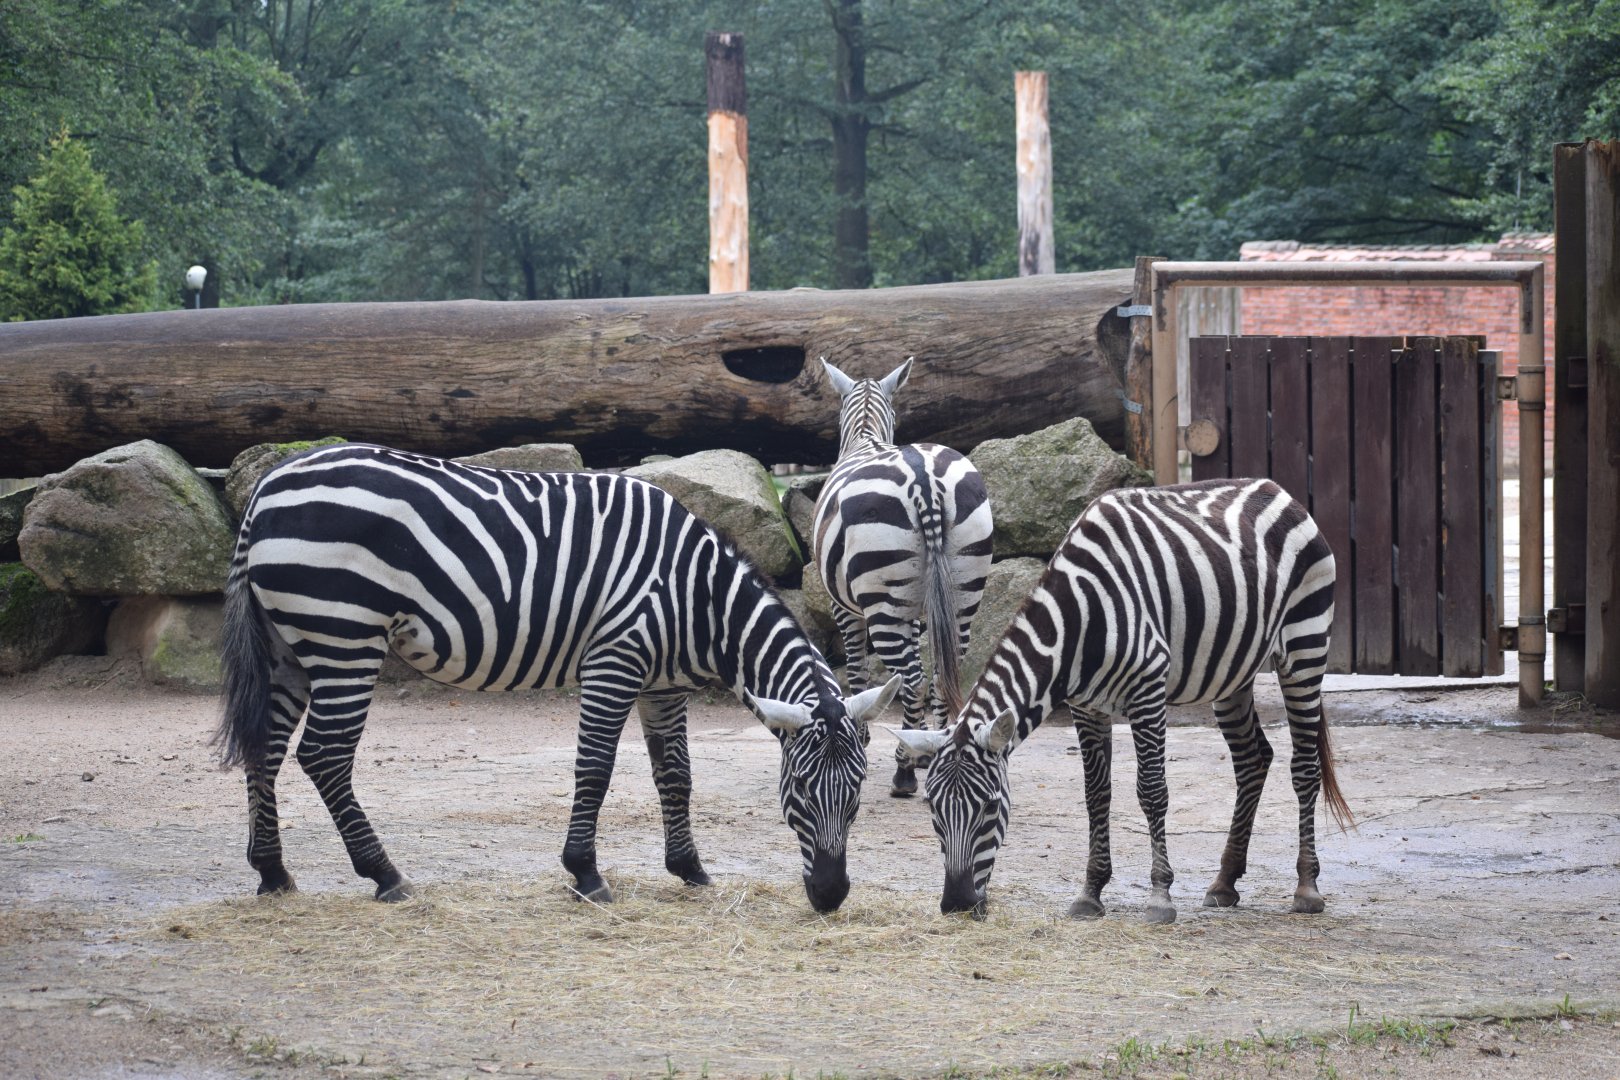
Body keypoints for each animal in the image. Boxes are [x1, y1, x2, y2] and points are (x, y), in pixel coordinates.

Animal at [213, 443, 899, 913]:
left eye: (858, 795)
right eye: (801, 791)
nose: (831, 896)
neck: (697, 600)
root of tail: (266, 486)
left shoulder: (662, 685)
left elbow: (676, 775)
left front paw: (690, 869)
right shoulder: (615, 660)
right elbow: (595, 767)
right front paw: (586, 873)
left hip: (288, 646)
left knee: (265, 749)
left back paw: (272, 872)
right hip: (343, 634)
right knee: (324, 755)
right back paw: (384, 875)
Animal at [813, 357, 993, 798]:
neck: (864, 436)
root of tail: (923, 478)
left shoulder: (842, 607)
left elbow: (857, 668)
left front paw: (861, 735)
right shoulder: (916, 610)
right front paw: (922, 741)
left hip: (882, 603)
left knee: (911, 678)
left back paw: (904, 772)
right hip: (961, 594)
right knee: (943, 673)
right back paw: (939, 751)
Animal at [893, 478, 1352, 921]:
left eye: (990, 808)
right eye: (932, 807)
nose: (957, 903)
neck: (1079, 619)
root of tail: (1279, 491)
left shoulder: (1147, 690)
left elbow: (1151, 789)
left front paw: (1160, 896)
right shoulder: (1086, 706)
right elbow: (1097, 794)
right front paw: (1090, 892)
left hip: (1305, 647)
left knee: (1305, 767)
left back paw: (1307, 888)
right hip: (1231, 674)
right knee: (1252, 760)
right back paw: (1224, 882)